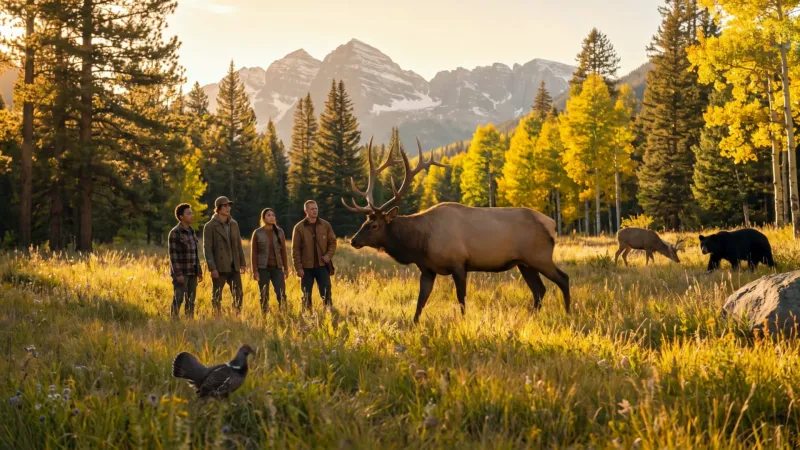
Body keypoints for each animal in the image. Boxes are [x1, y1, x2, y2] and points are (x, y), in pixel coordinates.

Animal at [342, 137, 570, 323]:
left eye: (374, 225)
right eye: (364, 221)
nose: (354, 240)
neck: (419, 244)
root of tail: (551, 223)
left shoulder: (459, 263)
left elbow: (461, 299)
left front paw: (463, 321)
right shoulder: (427, 269)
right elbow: (420, 302)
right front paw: (414, 324)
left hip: (539, 256)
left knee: (563, 278)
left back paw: (568, 313)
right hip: (524, 263)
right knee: (539, 290)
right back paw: (531, 317)